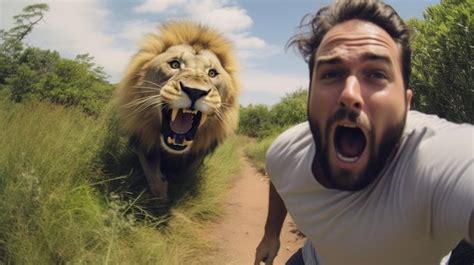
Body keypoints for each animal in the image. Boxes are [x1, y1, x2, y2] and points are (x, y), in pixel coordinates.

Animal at [115, 20, 241, 198]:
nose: (195, 91)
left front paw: (179, 189)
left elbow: (187, 175)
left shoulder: (199, 153)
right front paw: (161, 196)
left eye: (212, 73)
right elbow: (152, 175)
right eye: (175, 64)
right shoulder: (142, 139)